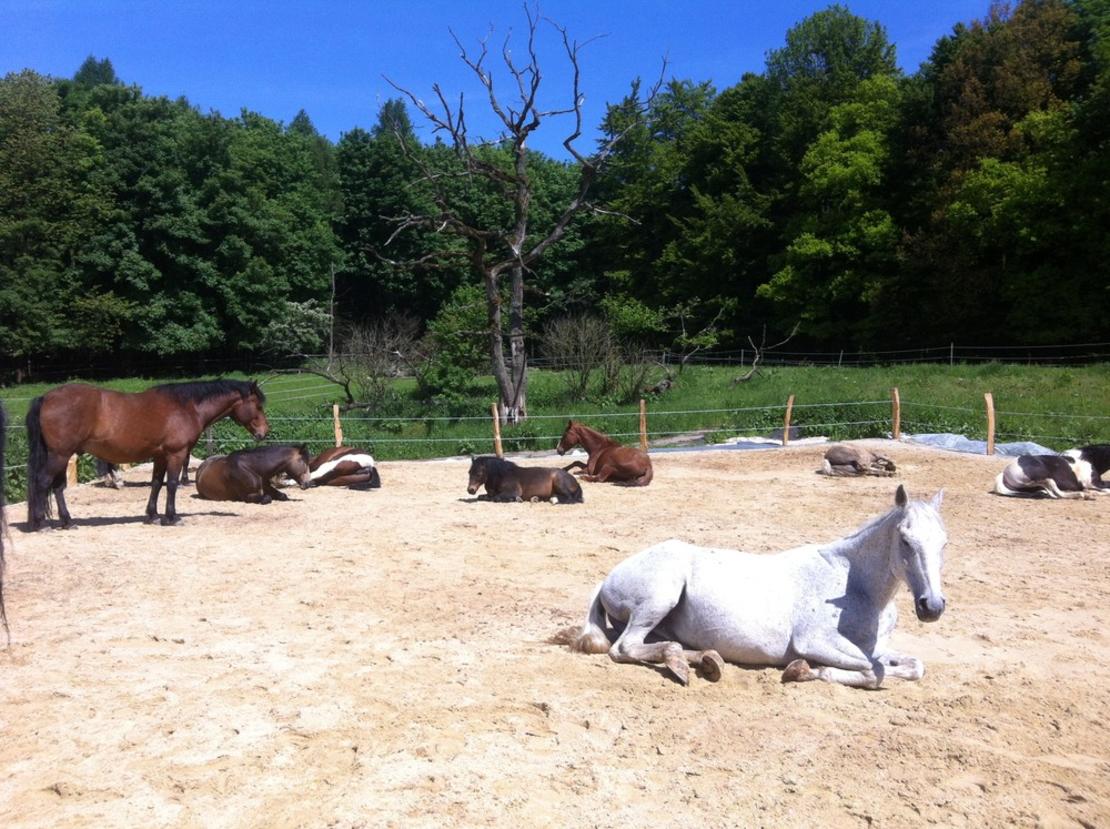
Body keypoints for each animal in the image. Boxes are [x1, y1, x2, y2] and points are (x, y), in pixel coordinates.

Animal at [26, 379, 269, 529]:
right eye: (258, 406)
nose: (264, 432)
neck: (186, 407)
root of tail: (46, 397)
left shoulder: (160, 456)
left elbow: (156, 484)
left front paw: (152, 515)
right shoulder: (176, 454)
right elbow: (171, 485)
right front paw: (171, 517)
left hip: (62, 456)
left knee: (57, 488)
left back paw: (68, 522)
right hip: (59, 456)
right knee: (42, 482)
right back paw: (42, 524)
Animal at [558, 485, 947, 689]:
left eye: (945, 542)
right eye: (906, 541)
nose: (932, 607)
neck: (856, 588)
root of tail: (608, 577)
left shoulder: (877, 648)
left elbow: (910, 666)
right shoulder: (816, 641)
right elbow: (872, 672)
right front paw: (804, 670)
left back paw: (706, 660)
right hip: (658, 598)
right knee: (624, 648)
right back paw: (681, 664)